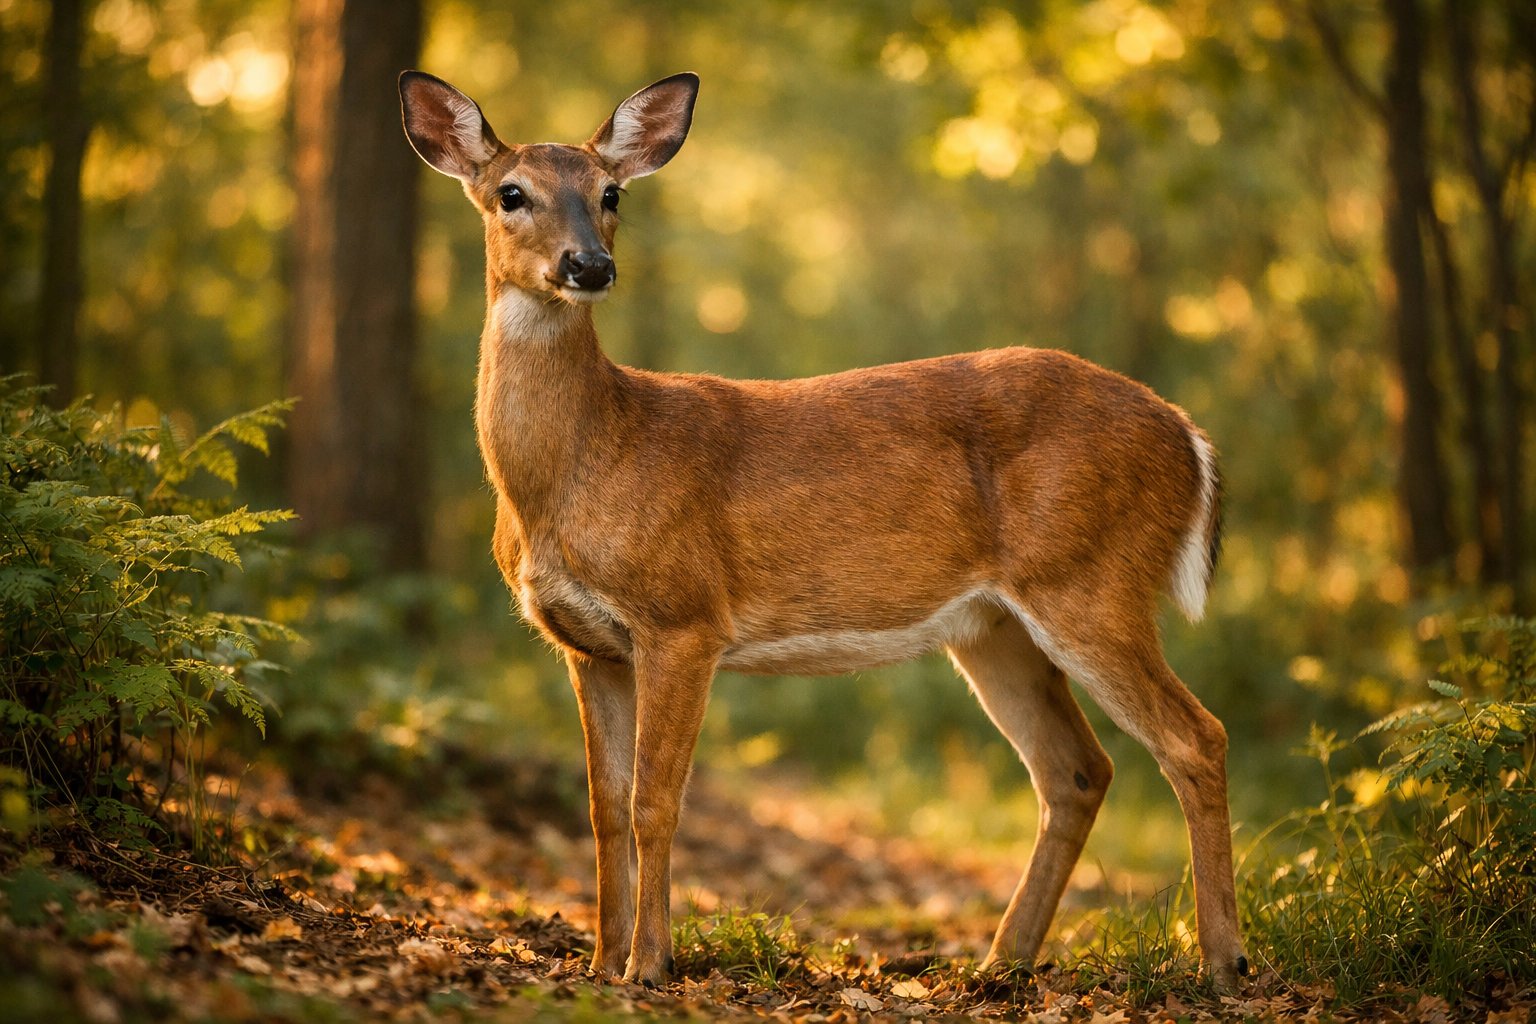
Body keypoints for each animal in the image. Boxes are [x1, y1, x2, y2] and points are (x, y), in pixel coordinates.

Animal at [398, 69, 1248, 992]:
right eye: (511, 194)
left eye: (610, 193)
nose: (589, 265)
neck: (587, 459)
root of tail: (1190, 436)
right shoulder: (589, 646)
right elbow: (603, 807)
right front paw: (599, 960)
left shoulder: (683, 617)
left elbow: (655, 800)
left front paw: (650, 966)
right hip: (994, 626)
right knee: (1077, 770)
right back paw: (999, 964)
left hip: (1091, 580)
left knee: (1195, 736)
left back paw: (1223, 961)